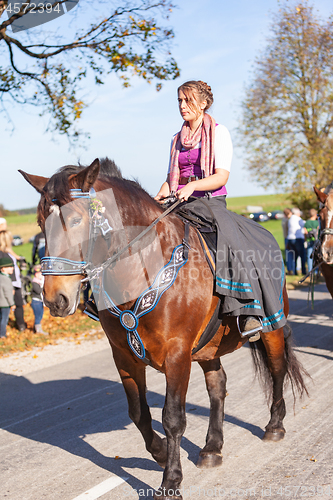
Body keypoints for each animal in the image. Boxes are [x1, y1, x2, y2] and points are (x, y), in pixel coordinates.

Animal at [20, 159, 306, 500]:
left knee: (277, 369)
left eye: (76, 219)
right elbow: (138, 413)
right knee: (217, 386)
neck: (142, 269)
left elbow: (172, 418)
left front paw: (170, 482)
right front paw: (158, 453)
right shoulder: (124, 357)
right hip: (207, 348)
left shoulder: (177, 354)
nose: (54, 299)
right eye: (41, 223)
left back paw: (275, 426)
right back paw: (212, 447)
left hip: (272, 328)